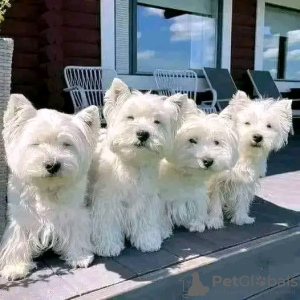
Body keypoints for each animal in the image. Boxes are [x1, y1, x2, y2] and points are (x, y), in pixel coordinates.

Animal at [0, 95, 99, 280]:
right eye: (36, 143)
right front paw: (14, 267)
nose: (53, 165)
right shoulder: (20, 216)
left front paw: (79, 256)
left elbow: (77, 230)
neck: (47, 189)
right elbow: (17, 240)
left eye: (66, 144)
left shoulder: (74, 212)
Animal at [90, 78, 186, 256]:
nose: (142, 134)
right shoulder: (108, 199)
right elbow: (108, 223)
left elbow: (146, 221)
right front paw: (108, 246)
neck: (133, 163)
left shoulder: (147, 198)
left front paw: (148, 241)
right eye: (130, 117)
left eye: (157, 121)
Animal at [207, 91, 292, 227]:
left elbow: (242, 199)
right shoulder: (215, 181)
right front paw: (214, 221)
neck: (243, 154)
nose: (257, 137)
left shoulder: (245, 180)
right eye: (247, 123)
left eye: (269, 126)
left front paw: (241, 218)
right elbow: (214, 201)